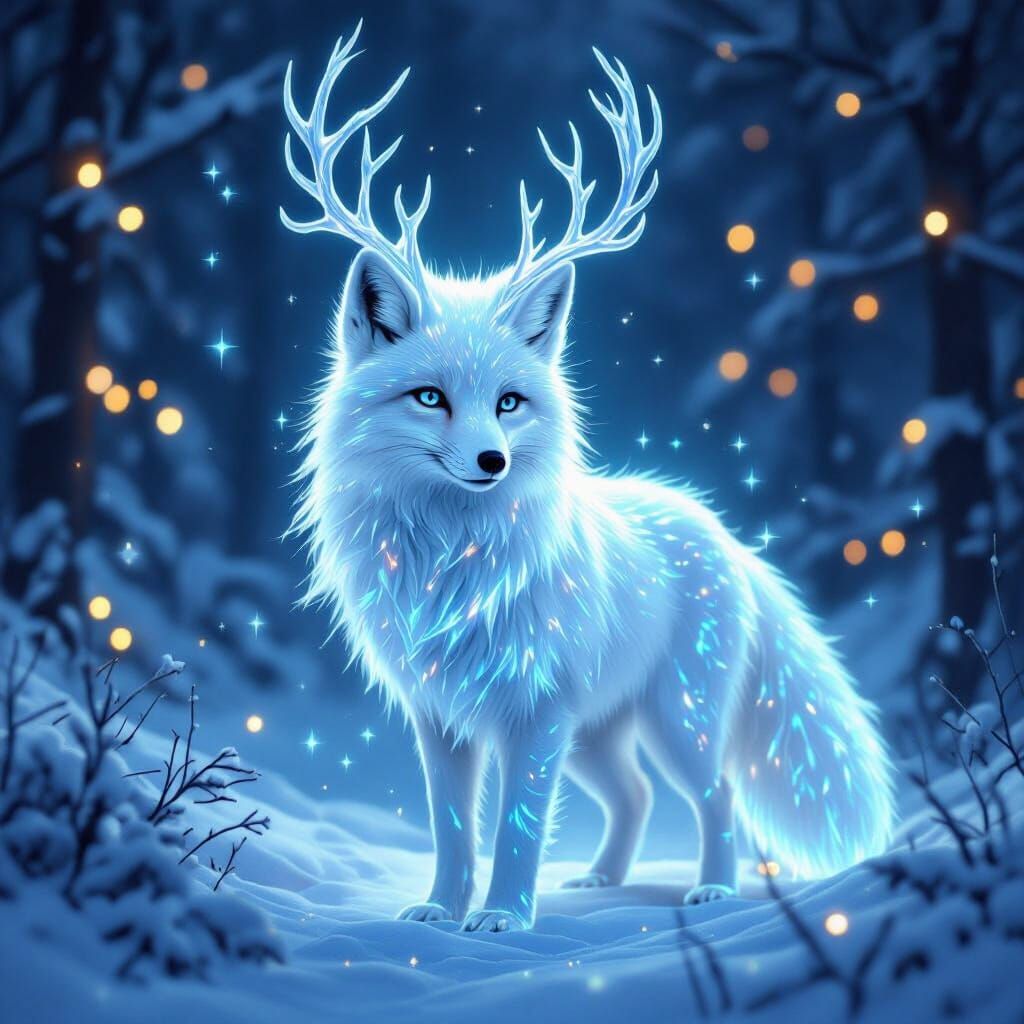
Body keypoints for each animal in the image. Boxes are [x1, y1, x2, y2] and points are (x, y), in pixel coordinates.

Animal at [282, 24, 895, 933]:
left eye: (509, 402)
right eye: (430, 398)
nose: (492, 462)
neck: (451, 564)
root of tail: (727, 538)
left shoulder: (535, 712)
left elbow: (518, 828)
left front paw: (502, 920)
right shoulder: (440, 715)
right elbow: (453, 826)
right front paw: (440, 911)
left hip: (675, 720)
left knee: (715, 797)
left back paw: (713, 890)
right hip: (601, 733)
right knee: (636, 796)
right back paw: (601, 880)